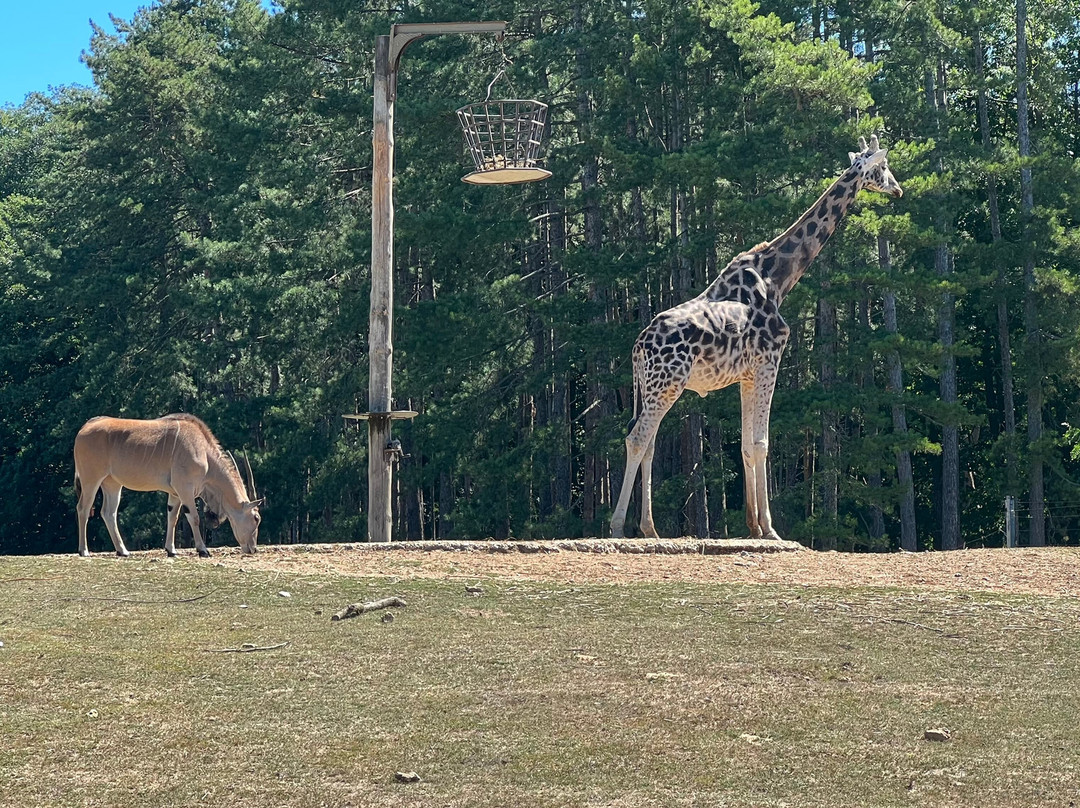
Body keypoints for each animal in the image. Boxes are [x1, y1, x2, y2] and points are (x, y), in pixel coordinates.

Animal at [73, 416, 261, 557]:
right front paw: (203, 550)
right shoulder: (185, 488)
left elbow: (172, 516)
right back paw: (84, 551)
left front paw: (171, 550)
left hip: (112, 483)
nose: (253, 549)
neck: (203, 451)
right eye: (256, 518)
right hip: (91, 479)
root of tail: (85, 428)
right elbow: (194, 517)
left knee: (108, 513)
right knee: (83, 508)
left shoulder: (175, 493)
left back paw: (123, 551)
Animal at [609, 135, 902, 540]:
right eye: (884, 167)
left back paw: (650, 529)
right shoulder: (769, 361)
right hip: (667, 382)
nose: (898, 189)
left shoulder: (746, 375)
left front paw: (754, 526)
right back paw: (618, 527)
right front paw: (771, 529)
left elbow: (748, 446)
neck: (777, 280)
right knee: (637, 438)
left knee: (647, 441)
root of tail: (638, 348)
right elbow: (761, 443)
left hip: (651, 386)